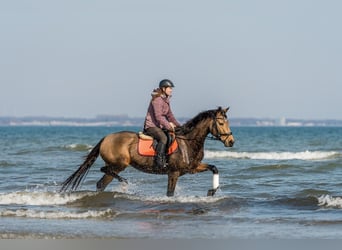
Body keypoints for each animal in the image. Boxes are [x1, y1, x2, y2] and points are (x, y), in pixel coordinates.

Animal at [60, 106, 234, 196]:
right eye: (220, 123)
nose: (231, 141)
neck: (188, 142)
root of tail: (106, 138)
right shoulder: (174, 172)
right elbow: (170, 193)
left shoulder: (192, 168)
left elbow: (214, 168)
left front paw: (212, 191)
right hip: (120, 163)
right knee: (105, 170)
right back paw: (124, 182)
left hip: (116, 166)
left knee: (101, 183)